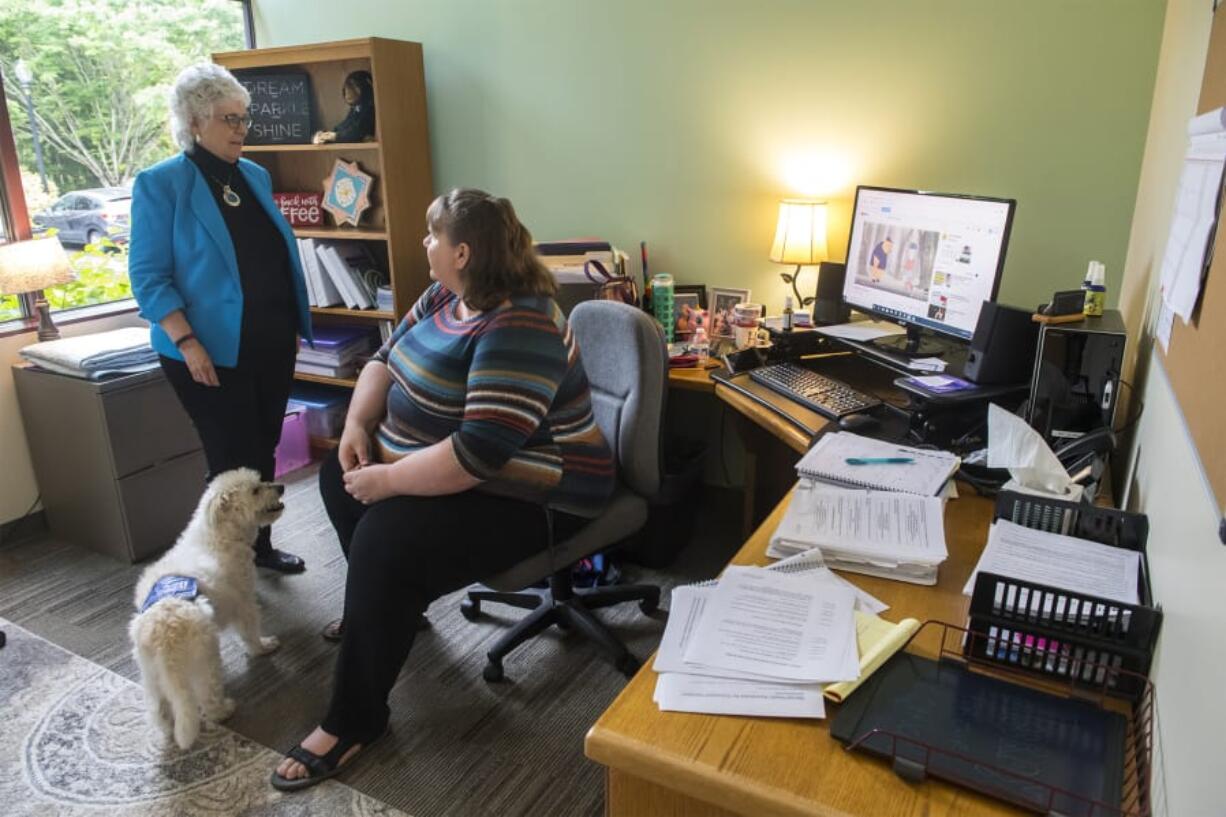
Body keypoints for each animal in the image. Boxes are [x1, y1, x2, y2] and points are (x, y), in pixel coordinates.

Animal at [128, 468, 286, 745]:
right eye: (255, 490)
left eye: (259, 482)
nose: (280, 487)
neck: (219, 535)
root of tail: (162, 636)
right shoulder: (244, 601)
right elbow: (250, 632)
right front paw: (263, 647)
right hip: (206, 659)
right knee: (207, 698)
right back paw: (224, 710)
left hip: (151, 676)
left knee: (160, 710)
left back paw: (167, 729)